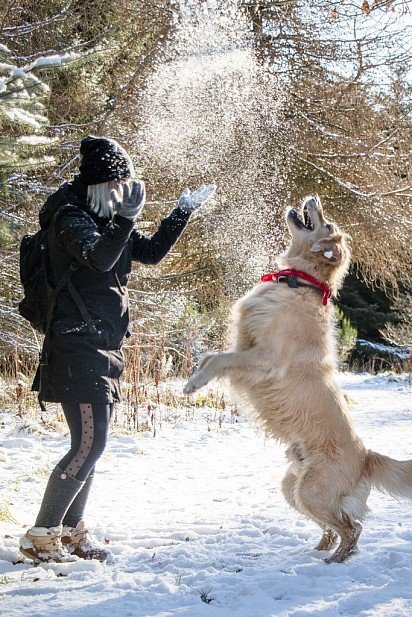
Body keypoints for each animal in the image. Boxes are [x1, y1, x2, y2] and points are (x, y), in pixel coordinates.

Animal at [184, 195, 412, 560]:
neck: (300, 282)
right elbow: (211, 356)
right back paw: (318, 551)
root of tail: (366, 457)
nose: (313, 199)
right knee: (333, 527)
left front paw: (193, 384)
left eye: (326, 223)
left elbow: (218, 359)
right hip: (292, 487)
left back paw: (333, 561)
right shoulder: (245, 345)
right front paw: (194, 376)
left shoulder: (263, 358)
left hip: (312, 490)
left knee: (352, 528)